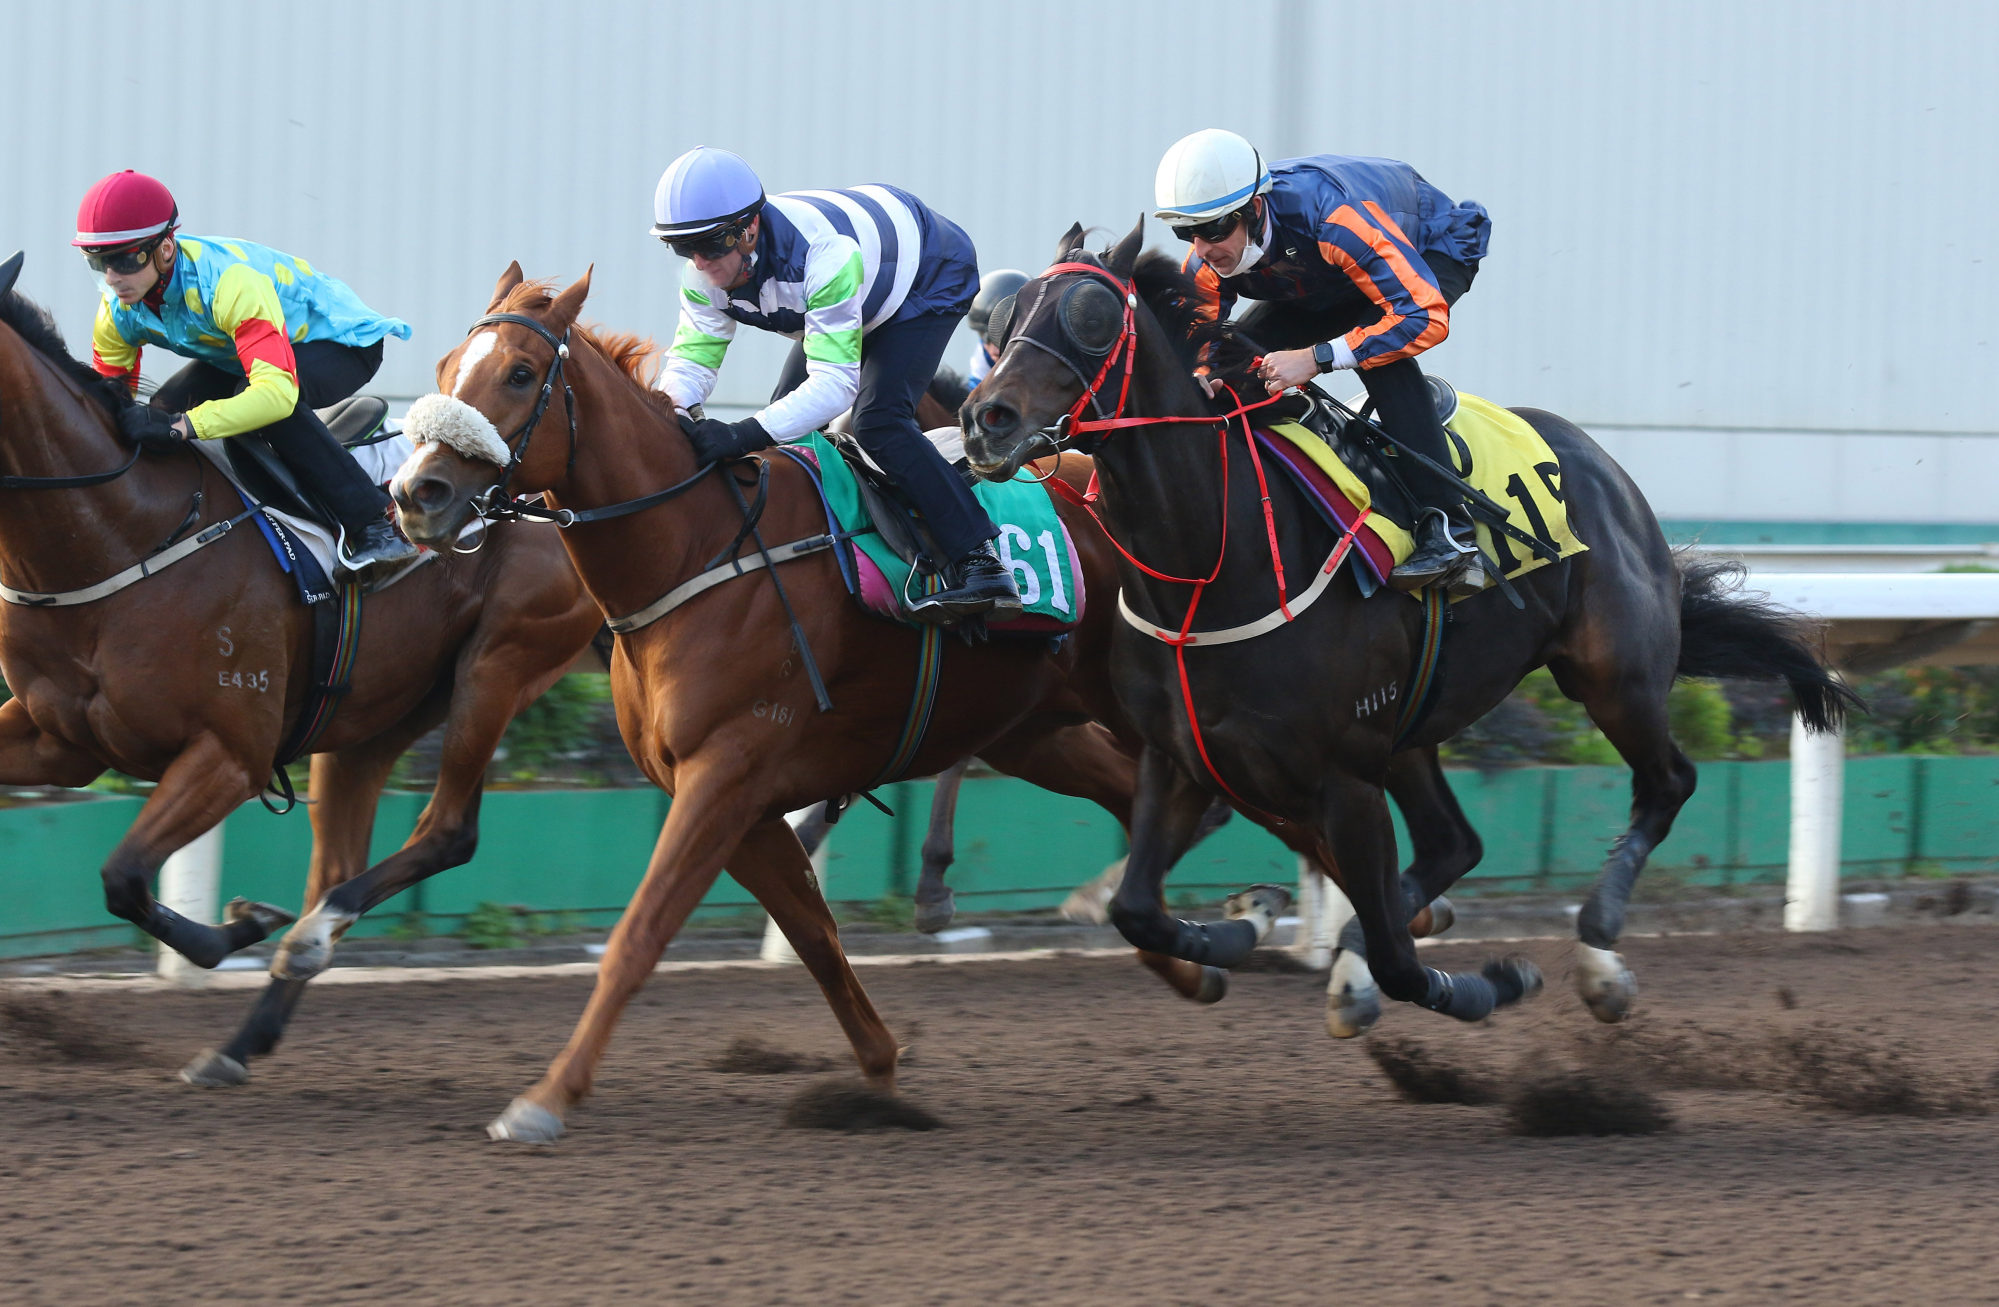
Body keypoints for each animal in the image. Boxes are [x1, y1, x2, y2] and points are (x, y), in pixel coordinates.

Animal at [0, 253, 599, 1087]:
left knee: (448, 832)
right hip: (374, 715)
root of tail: (541, 494)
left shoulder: (230, 753)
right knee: (341, 861)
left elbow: (123, 876)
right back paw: (242, 1036)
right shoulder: (57, 739)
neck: (123, 532)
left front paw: (240, 926)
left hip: (499, 668)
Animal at [385, 265, 1375, 1151]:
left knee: (1295, 821)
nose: (415, 493)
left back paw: (1353, 958)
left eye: (519, 373)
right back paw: (1213, 939)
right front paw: (879, 1070)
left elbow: (641, 934)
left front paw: (544, 1097)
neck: (695, 548)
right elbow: (814, 933)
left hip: (1196, 718)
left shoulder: (726, 774)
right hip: (1034, 731)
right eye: (445, 367)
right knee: (1154, 809)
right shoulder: (735, 796)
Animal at [959, 227, 1847, 1047]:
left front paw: (1489, 982)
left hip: (1611, 675)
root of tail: (1604, 465)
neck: (1211, 564)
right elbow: (1136, 907)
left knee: (1665, 783)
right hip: (1413, 729)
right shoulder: (1176, 755)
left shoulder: (1343, 775)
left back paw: (1598, 956)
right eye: (1006, 317)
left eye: (1091, 317)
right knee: (1455, 842)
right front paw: (1244, 925)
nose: (985, 419)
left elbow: (1395, 957)